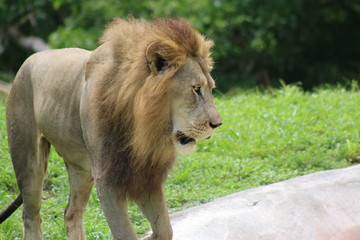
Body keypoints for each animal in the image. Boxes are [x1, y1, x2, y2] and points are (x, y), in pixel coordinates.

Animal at [0, 17, 221, 240]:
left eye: (210, 88)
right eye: (196, 89)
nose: (217, 124)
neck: (142, 126)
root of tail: (27, 61)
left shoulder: (145, 175)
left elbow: (165, 230)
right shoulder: (107, 179)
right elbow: (125, 233)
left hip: (81, 169)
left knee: (71, 213)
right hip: (29, 161)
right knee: (31, 217)